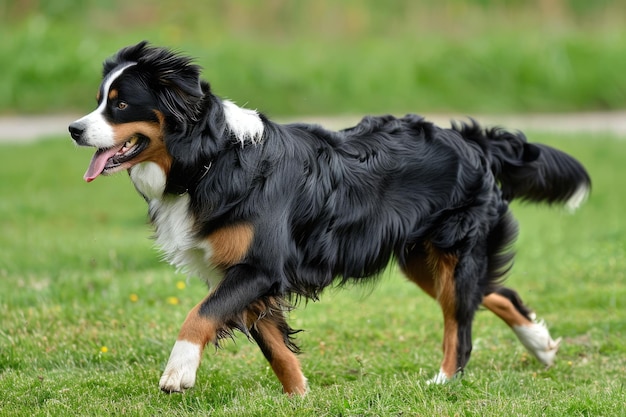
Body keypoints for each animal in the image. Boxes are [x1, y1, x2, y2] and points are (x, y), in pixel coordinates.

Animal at [69, 42, 588, 394]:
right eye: (99, 99)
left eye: (120, 103)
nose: (74, 129)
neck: (210, 159)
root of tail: (471, 139)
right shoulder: (242, 274)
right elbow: (275, 348)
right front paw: (300, 396)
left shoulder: (260, 267)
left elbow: (201, 314)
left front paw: (179, 369)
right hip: (423, 257)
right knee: (494, 293)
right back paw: (540, 342)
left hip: (451, 250)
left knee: (459, 325)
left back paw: (443, 381)